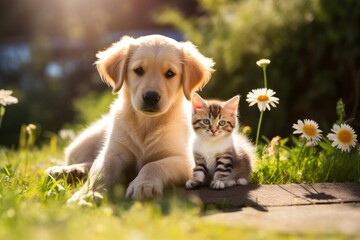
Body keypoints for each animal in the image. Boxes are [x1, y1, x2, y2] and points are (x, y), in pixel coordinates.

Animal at [45, 34, 214, 204]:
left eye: (170, 73)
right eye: (138, 70)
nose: (151, 97)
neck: (146, 123)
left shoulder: (185, 160)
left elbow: (154, 164)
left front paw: (143, 185)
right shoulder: (114, 152)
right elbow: (100, 171)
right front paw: (87, 194)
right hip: (85, 141)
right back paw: (67, 170)